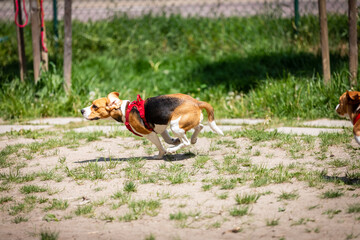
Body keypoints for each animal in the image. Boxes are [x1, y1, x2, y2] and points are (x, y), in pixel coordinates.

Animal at [81, 93, 224, 158]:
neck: (125, 109)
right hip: (181, 123)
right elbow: (167, 139)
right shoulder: (160, 127)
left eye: (95, 106)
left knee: (186, 142)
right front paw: (174, 141)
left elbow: (160, 146)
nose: (81, 110)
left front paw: (161, 155)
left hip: (175, 125)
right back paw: (192, 139)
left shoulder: (149, 133)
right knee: (200, 127)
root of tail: (196, 102)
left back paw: (173, 149)